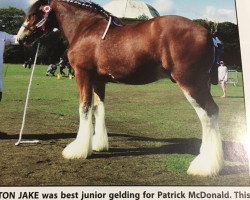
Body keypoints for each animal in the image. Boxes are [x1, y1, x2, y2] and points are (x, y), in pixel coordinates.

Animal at [16, 0, 224, 177]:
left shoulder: (83, 76)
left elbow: (84, 108)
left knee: (208, 113)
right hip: (201, 84)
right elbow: (98, 109)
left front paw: (77, 150)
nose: (20, 39)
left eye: (34, 14)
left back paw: (204, 166)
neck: (85, 29)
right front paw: (98, 144)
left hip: (191, 83)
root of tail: (208, 33)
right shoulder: (99, 82)